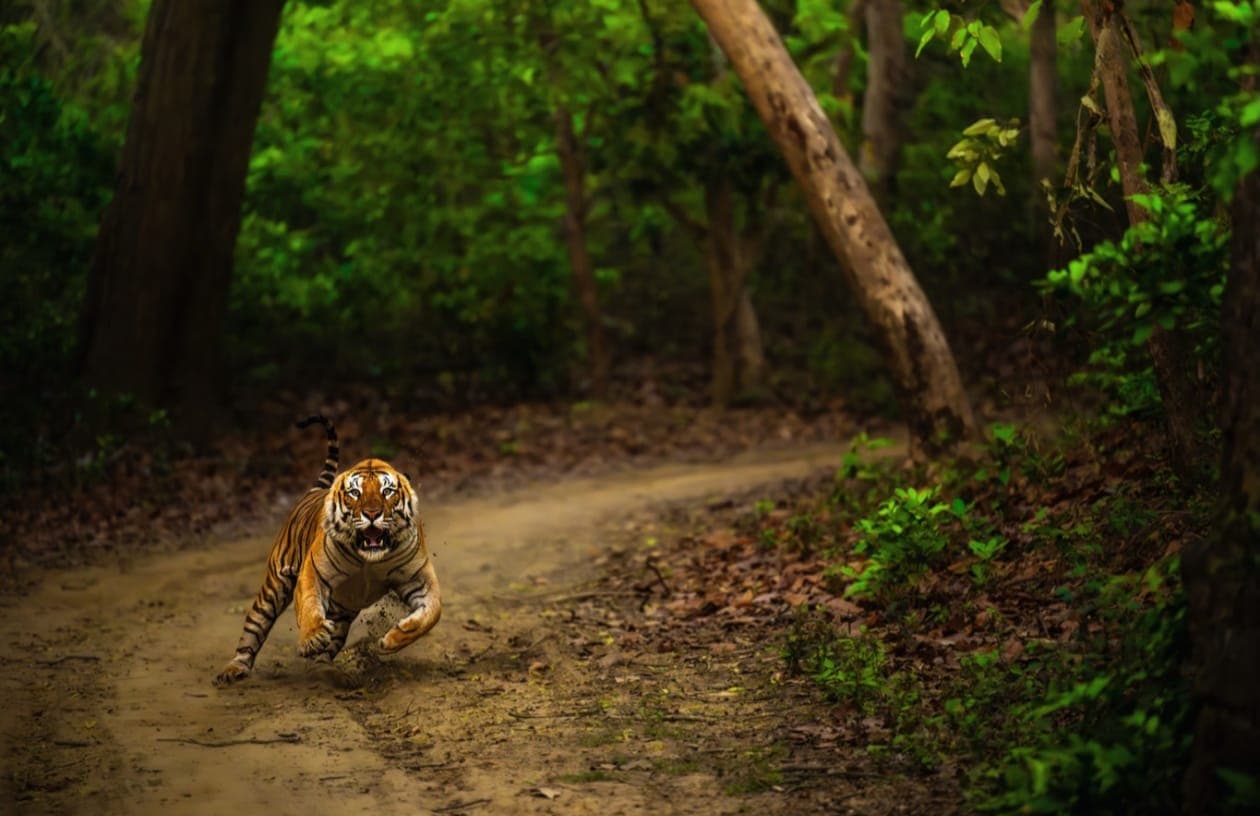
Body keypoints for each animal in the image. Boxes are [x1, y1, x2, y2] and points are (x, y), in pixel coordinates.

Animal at [215, 415, 441, 686]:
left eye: (387, 491)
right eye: (355, 492)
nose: (372, 513)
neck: (370, 558)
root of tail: (312, 491)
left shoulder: (418, 579)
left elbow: (432, 614)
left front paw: (392, 639)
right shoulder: (313, 572)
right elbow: (310, 606)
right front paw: (312, 638)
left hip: (340, 614)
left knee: (328, 648)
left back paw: (327, 671)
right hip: (274, 588)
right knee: (253, 628)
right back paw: (234, 669)